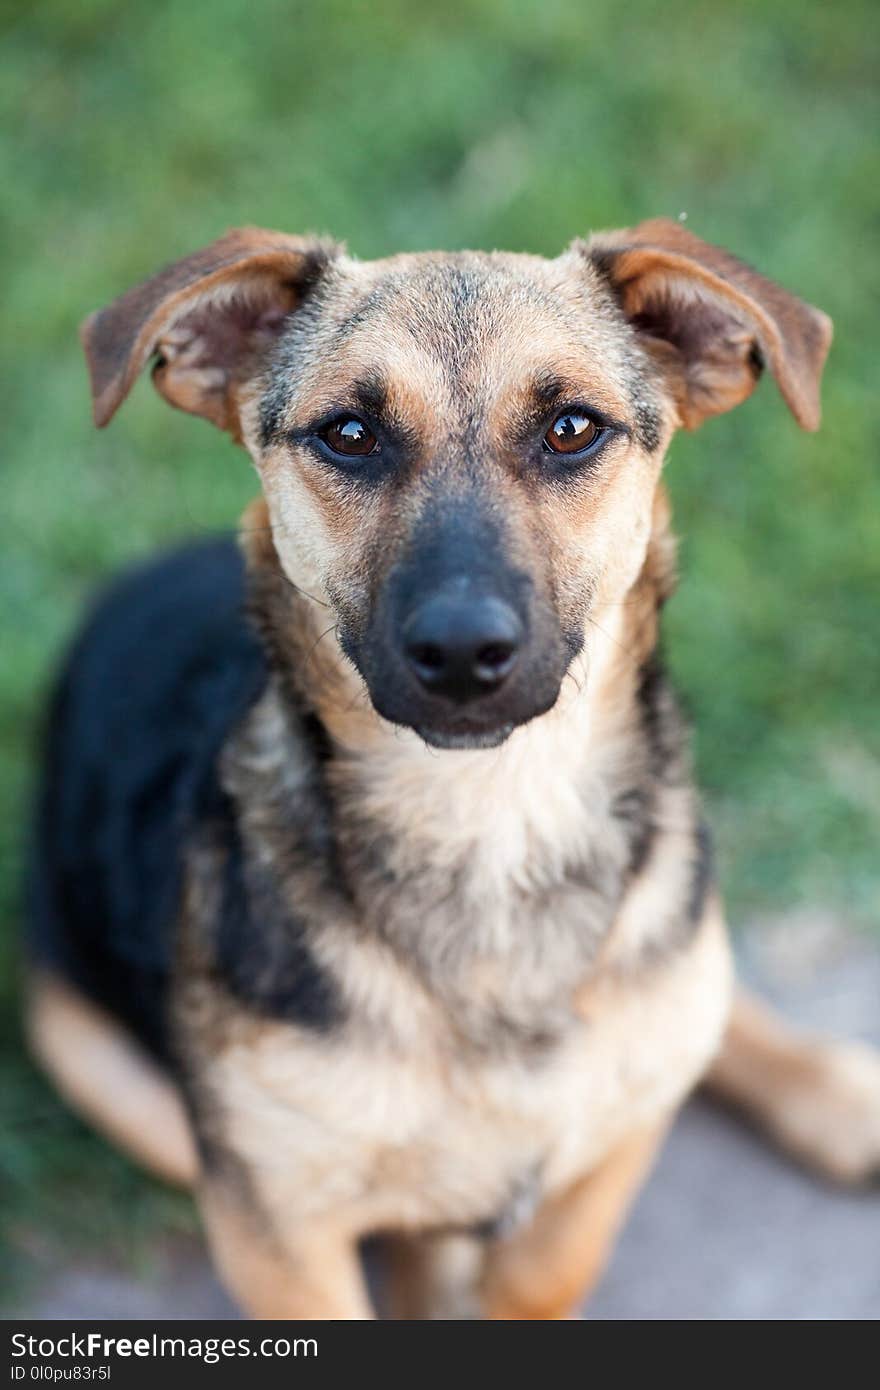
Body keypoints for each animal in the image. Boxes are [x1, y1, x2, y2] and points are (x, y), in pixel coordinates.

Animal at [25, 216, 878, 1312]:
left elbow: (550, 1261)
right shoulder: (273, 1224)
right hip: (95, 1056)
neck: (491, 816)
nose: (465, 651)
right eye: (349, 433)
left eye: (572, 429)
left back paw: (834, 1090)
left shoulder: (612, 1150)